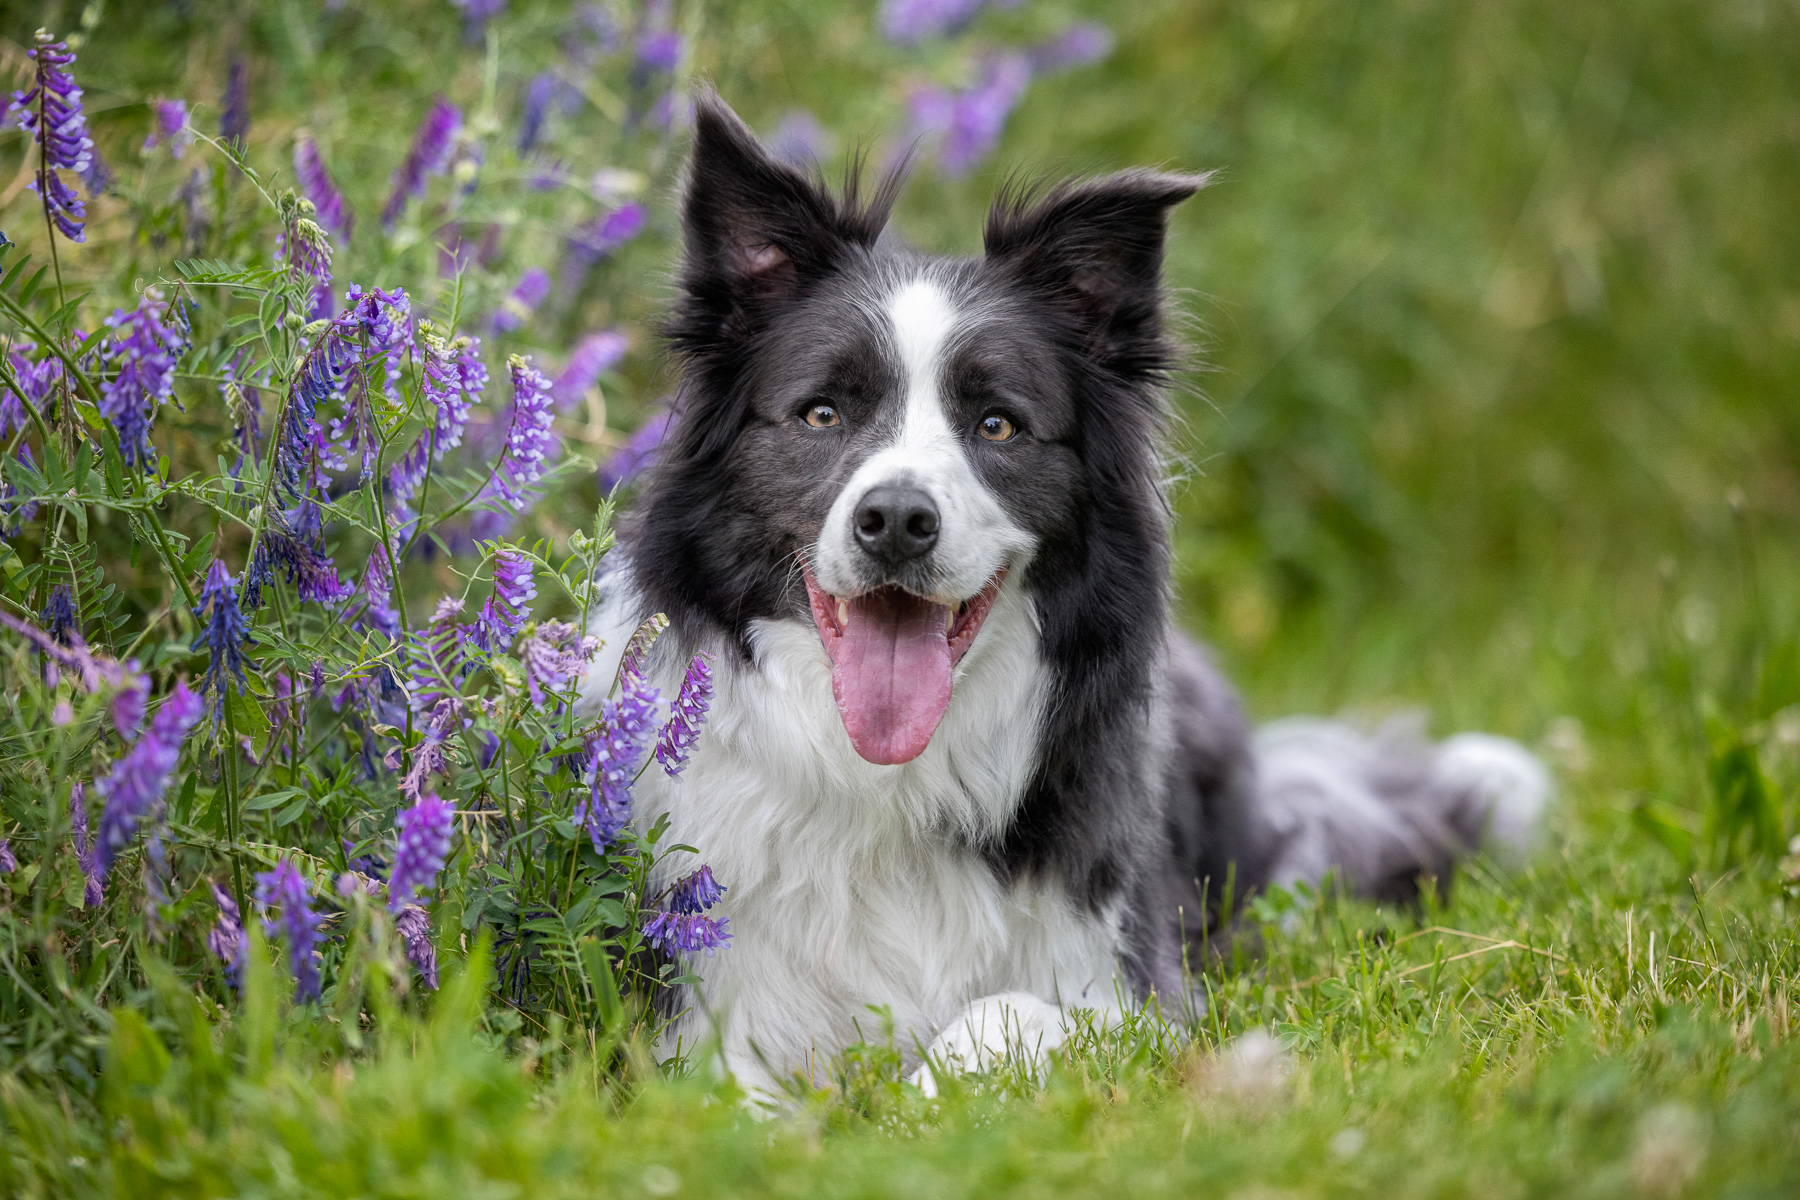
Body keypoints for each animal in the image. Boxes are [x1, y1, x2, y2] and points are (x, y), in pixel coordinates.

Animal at [579, 94, 1548, 1101]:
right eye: (822, 414)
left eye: (998, 425)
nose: (896, 521)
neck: (887, 782)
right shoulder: (703, 1008)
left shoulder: (1127, 984)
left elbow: (999, 1017)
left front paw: (922, 1104)